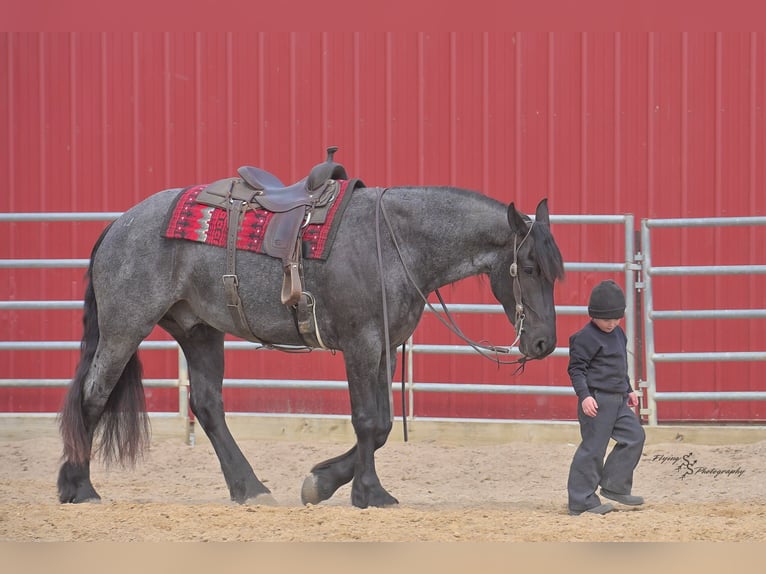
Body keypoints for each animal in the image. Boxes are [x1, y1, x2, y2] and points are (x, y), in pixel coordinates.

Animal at [57, 157, 565, 509]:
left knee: (207, 404)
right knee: (94, 392)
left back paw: (250, 488)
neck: (394, 242)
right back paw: (78, 486)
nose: (544, 343)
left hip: (198, 330)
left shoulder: (387, 346)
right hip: (125, 327)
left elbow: (382, 426)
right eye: (531, 267)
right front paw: (368, 493)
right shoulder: (361, 343)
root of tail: (120, 224)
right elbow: (368, 420)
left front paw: (323, 481)